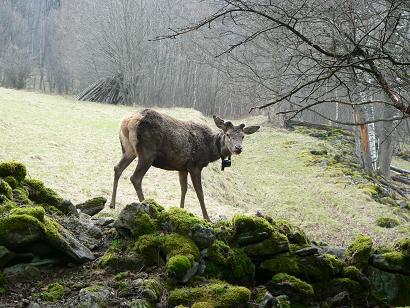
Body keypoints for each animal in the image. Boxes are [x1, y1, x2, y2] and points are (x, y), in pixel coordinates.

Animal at [109, 109, 260, 220]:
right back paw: (146, 206)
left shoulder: (182, 167)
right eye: (228, 134)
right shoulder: (195, 165)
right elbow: (200, 192)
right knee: (135, 178)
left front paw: (181, 211)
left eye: (243, 136)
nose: (238, 148)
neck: (210, 150)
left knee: (117, 168)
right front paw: (207, 218)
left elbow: (184, 189)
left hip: (128, 150)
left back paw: (112, 204)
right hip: (147, 152)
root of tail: (127, 122)